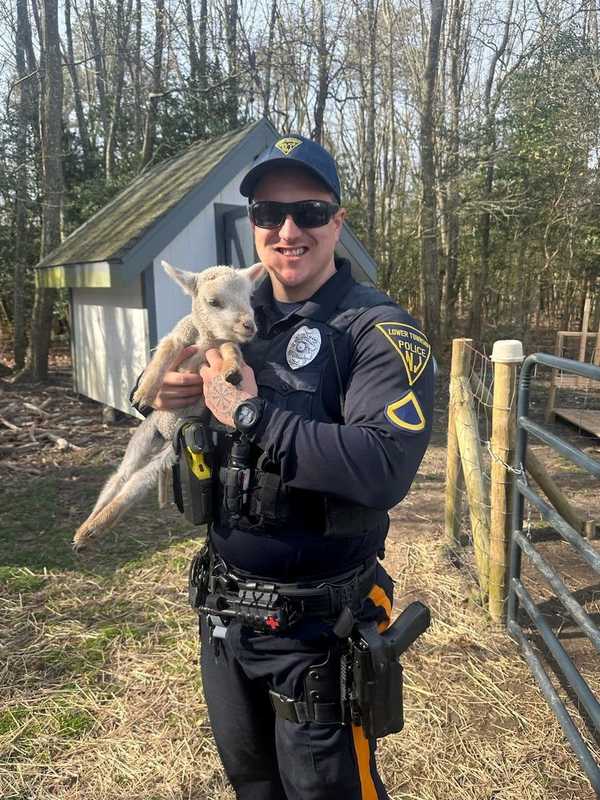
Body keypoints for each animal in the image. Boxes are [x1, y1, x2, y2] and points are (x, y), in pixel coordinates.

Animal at [73, 260, 262, 552]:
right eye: (213, 302)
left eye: (250, 297)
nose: (249, 326)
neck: (206, 339)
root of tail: (162, 436)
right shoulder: (180, 335)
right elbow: (163, 355)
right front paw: (145, 392)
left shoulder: (225, 344)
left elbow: (232, 352)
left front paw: (232, 373)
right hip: (141, 440)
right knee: (119, 478)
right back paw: (87, 527)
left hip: (166, 456)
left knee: (134, 484)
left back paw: (91, 530)